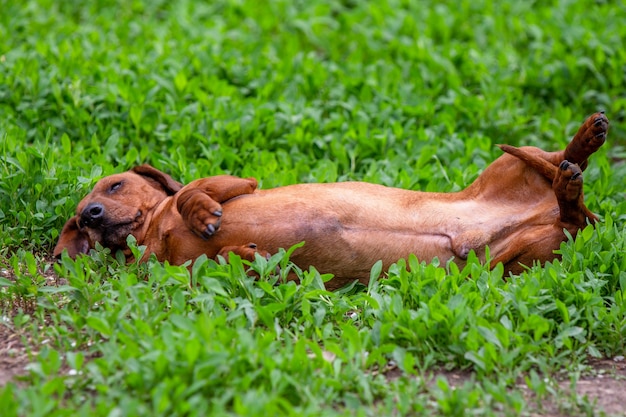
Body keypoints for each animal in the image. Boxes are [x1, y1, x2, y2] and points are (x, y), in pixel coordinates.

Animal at [53, 114, 604, 290]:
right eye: (80, 220)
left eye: (114, 186)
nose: (93, 215)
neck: (154, 228)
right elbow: (220, 262)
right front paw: (245, 254)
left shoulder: (239, 182)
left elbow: (191, 190)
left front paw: (204, 213)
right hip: (525, 259)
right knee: (571, 211)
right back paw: (571, 186)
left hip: (506, 170)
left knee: (558, 160)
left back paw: (586, 139)